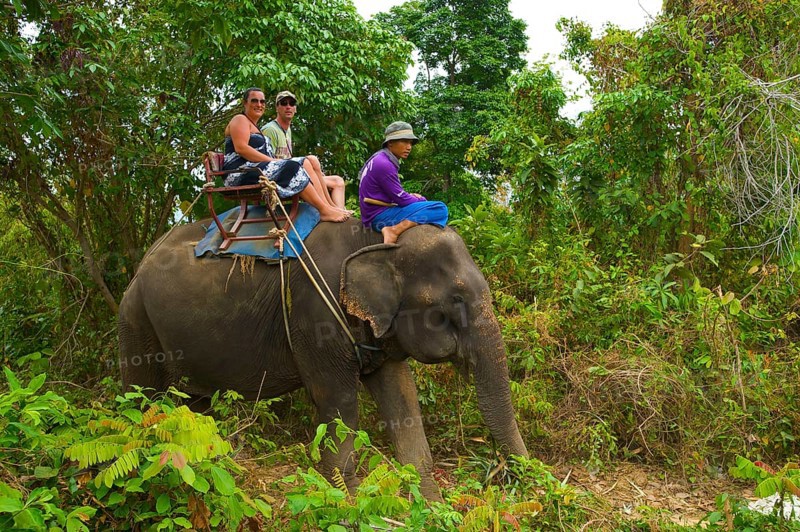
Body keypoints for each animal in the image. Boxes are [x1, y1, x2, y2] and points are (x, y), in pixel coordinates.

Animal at [118, 217, 528, 500]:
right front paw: (348, 504)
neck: (375, 243)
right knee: (144, 398)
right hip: (136, 321)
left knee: (196, 406)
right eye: (454, 301)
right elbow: (337, 401)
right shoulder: (314, 314)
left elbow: (401, 394)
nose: (535, 484)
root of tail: (139, 266)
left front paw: (429, 507)